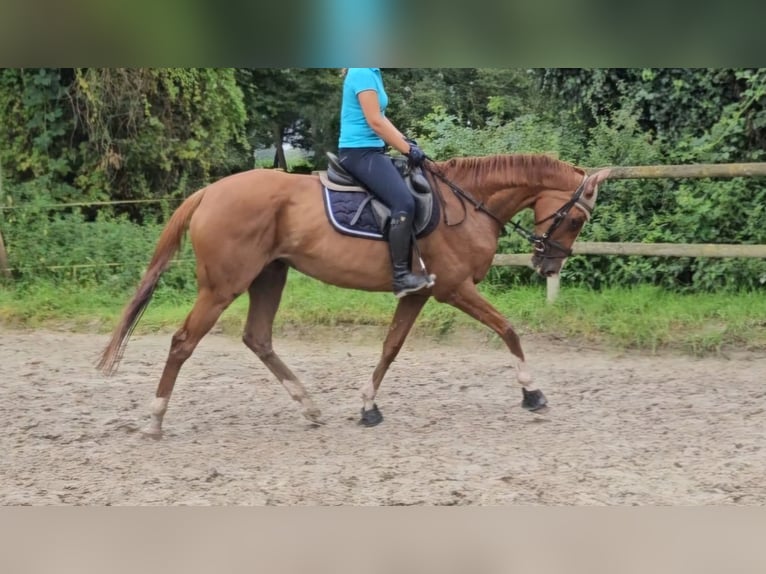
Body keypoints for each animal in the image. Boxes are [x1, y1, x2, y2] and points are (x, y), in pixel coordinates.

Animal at [97, 153, 612, 436]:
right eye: (575, 218)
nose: (548, 265)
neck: (466, 204)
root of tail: (208, 192)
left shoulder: (420, 292)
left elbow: (391, 347)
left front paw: (367, 407)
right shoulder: (453, 288)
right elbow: (508, 329)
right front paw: (532, 393)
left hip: (270, 275)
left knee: (258, 338)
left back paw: (309, 406)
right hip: (223, 286)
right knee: (184, 342)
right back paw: (156, 419)